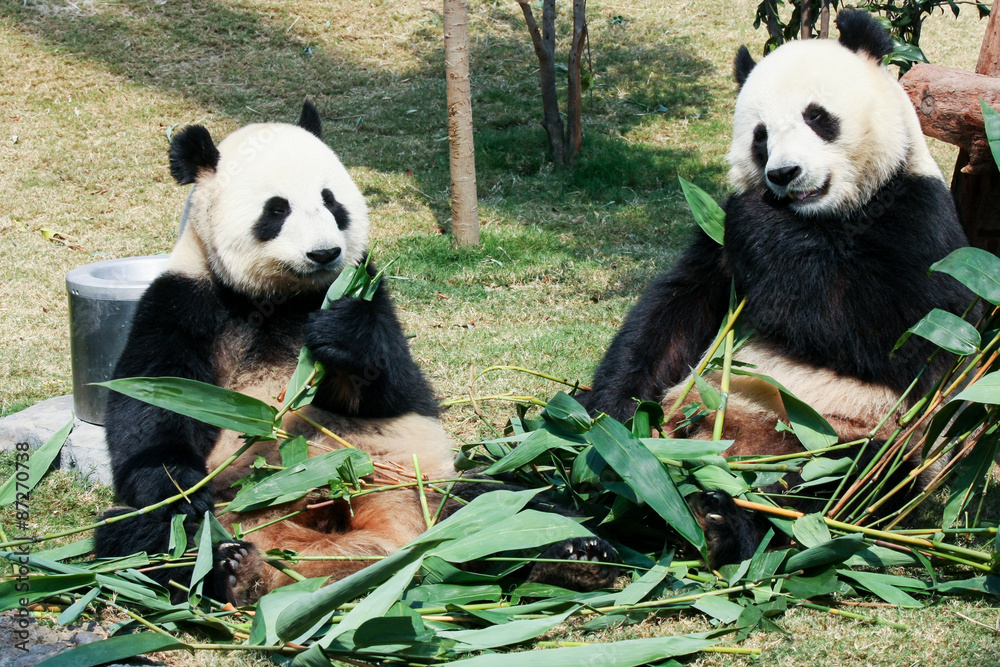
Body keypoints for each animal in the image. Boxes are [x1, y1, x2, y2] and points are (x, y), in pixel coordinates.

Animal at [581, 11, 974, 567]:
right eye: (760, 136)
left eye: (818, 117)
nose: (784, 174)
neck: (819, 217)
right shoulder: (713, 244)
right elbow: (675, 312)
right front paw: (613, 426)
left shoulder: (921, 221)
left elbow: (900, 334)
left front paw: (760, 221)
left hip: (853, 436)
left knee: (831, 485)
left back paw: (726, 522)